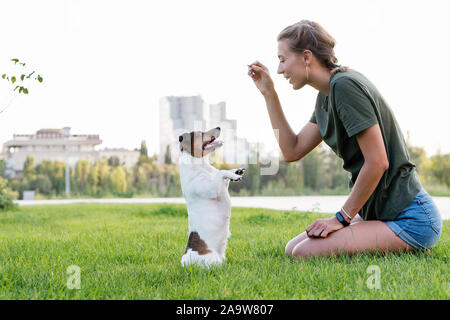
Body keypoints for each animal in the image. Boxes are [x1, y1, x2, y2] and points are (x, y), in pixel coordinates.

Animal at [178, 127, 244, 268]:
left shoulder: (222, 186)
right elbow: (221, 172)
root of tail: (184, 261)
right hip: (213, 260)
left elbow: (223, 174)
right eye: (200, 134)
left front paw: (235, 172)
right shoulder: (211, 189)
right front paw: (234, 175)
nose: (219, 127)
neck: (201, 165)